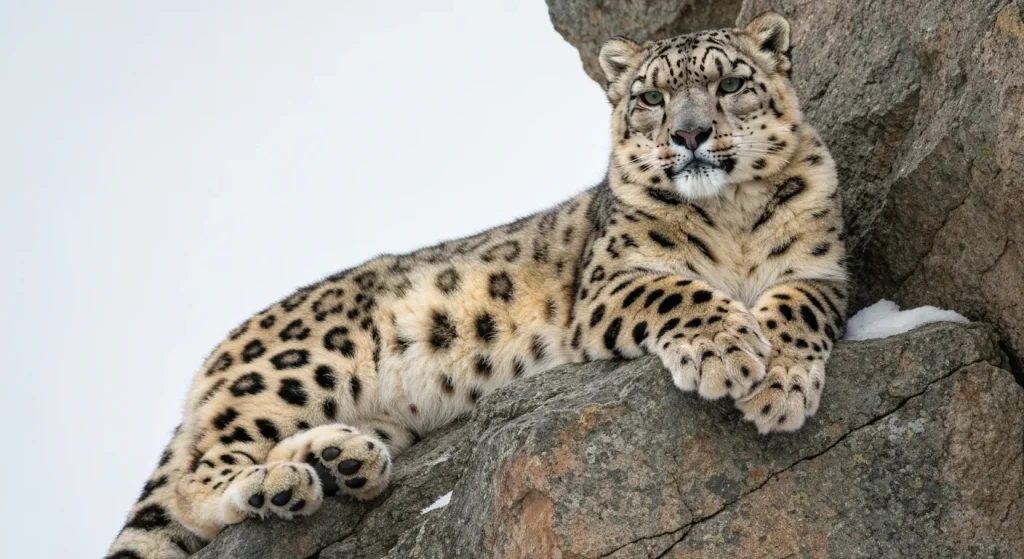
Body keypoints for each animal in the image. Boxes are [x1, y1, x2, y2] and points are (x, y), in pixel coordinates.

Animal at [107, 12, 847, 558]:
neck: (731, 218)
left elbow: (798, 311)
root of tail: (220, 352)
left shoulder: (822, 270)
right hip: (298, 367)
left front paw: (780, 387)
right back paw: (283, 480)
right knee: (196, 481)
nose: (689, 134)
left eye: (730, 83)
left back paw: (343, 461)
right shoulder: (610, 280)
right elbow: (680, 292)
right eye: (651, 98)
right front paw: (729, 353)